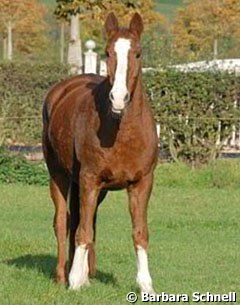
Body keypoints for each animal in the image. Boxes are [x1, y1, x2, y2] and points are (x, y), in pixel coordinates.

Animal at [42, 12, 158, 292]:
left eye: (138, 53)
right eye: (107, 52)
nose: (118, 98)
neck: (121, 131)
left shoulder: (141, 183)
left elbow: (140, 232)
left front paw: (146, 284)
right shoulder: (89, 179)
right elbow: (81, 230)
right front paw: (74, 281)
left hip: (95, 189)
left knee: (86, 220)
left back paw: (87, 272)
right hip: (59, 175)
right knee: (63, 221)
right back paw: (63, 275)